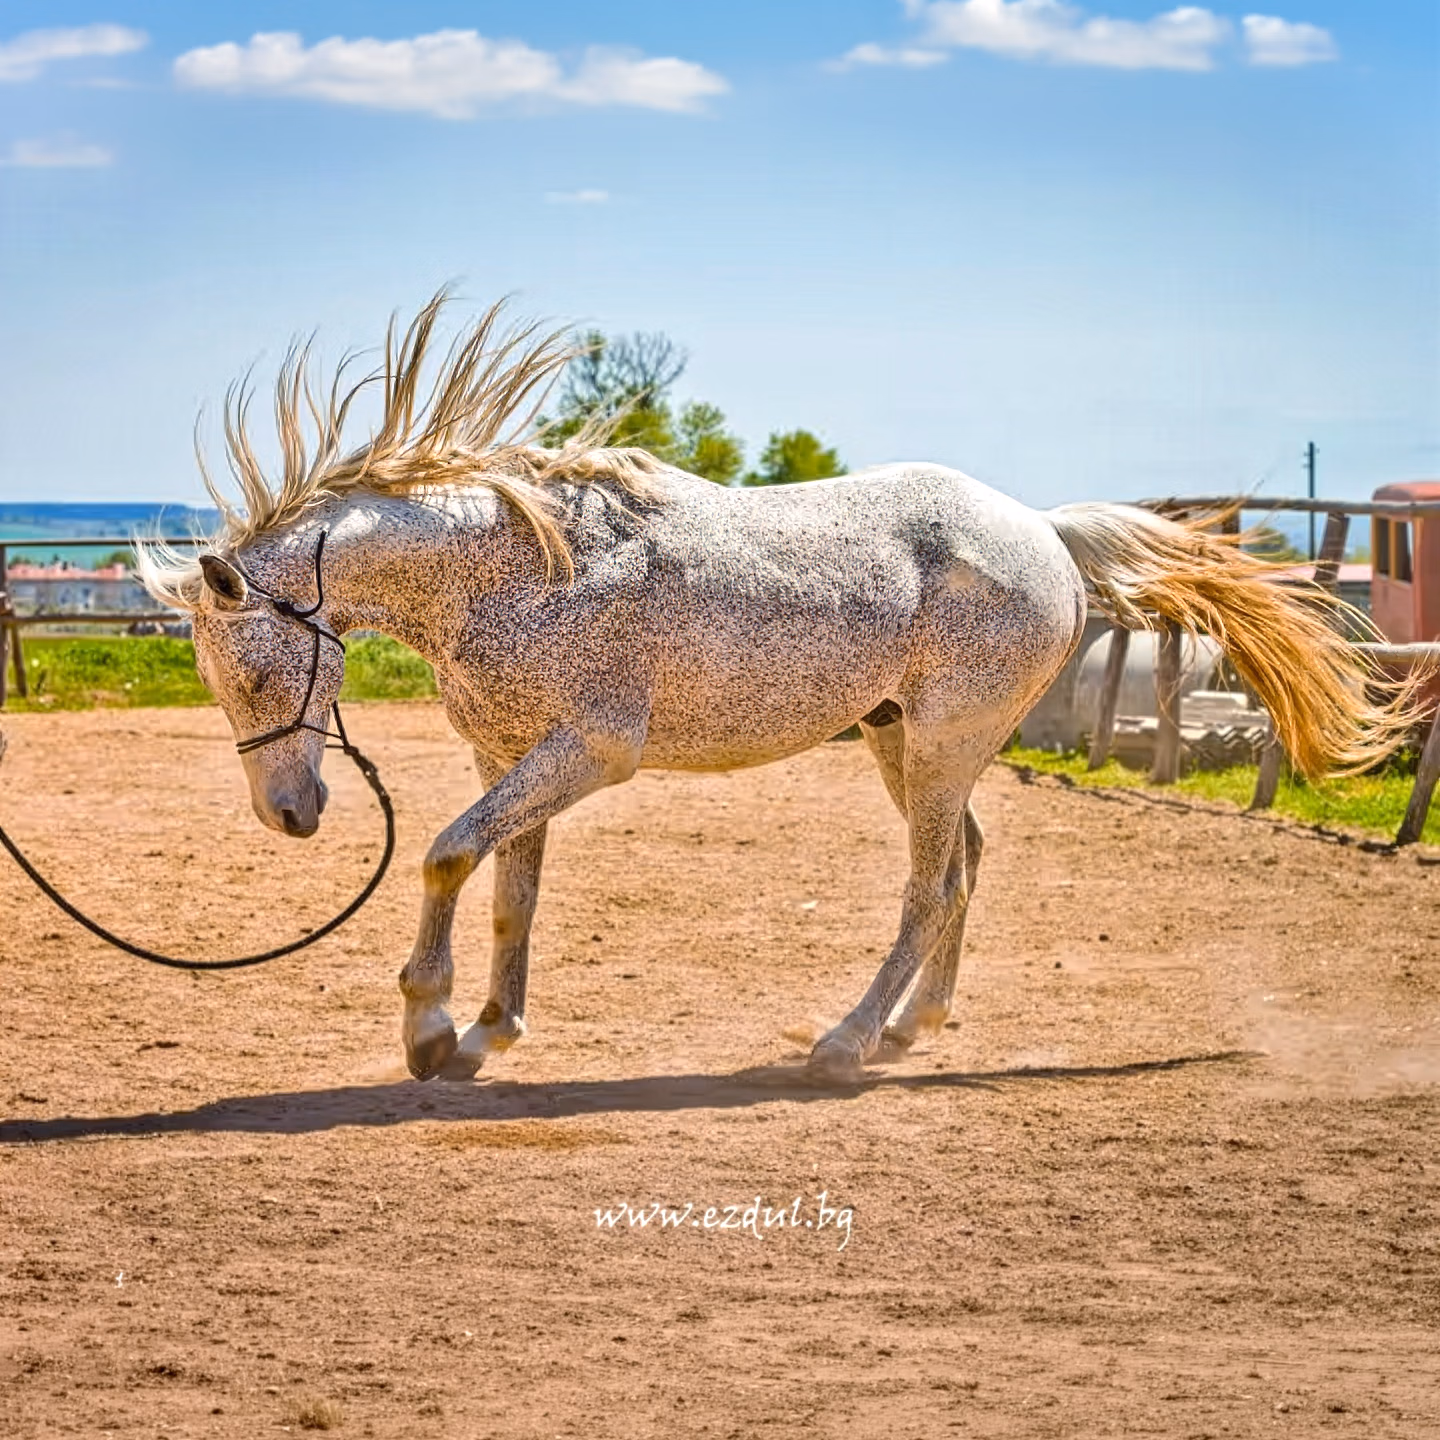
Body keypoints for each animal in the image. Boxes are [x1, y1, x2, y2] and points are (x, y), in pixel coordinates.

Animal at [139, 296, 1415, 1083]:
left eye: (254, 667)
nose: (290, 813)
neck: (517, 566)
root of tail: (1043, 533)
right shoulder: (508, 759)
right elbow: (511, 893)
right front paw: (491, 1029)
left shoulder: (584, 754)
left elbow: (448, 858)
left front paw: (429, 1026)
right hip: (905, 744)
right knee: (964, 869)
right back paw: (912, 1026)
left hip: (940, 745)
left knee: (927, 888)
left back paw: (845, 1043)